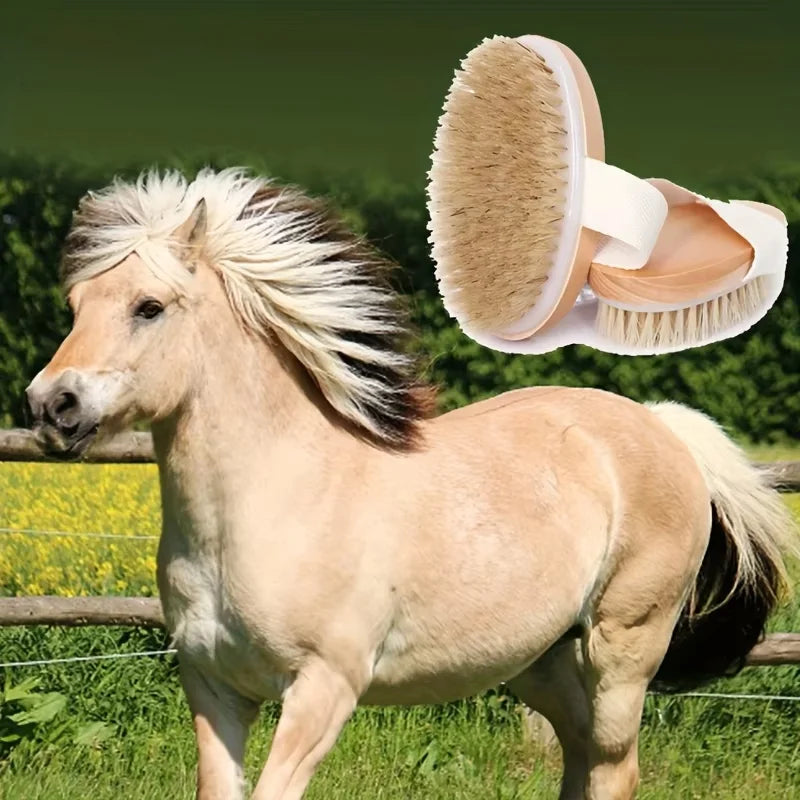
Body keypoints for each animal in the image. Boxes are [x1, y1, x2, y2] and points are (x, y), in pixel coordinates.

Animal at [25, 168, 796, 800]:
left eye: (148, 307)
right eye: (77, 302)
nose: (51, 405)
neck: (270, 505)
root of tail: (662, 427)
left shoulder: (323, 688)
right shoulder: (213, 686)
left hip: (623, 650)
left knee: (613, 769)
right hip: (540, 663)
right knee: (578, 761)